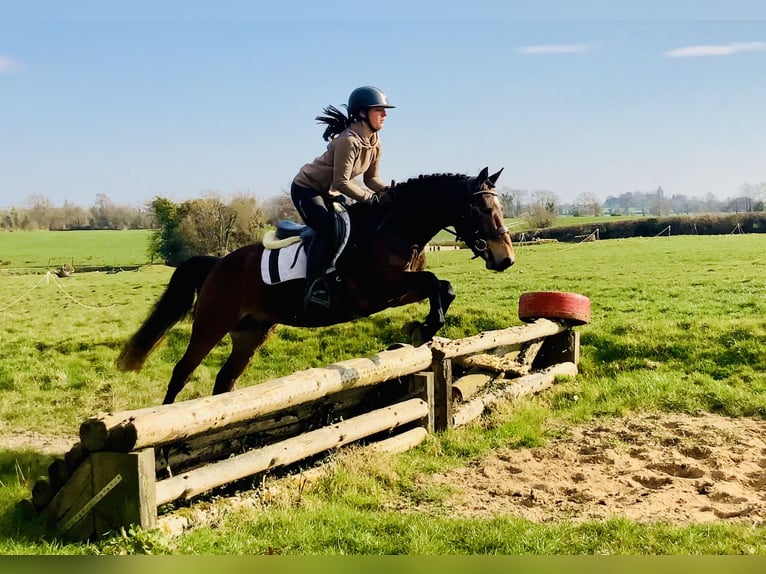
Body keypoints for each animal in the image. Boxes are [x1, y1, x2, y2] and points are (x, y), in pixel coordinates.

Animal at [118, 166, 516, 404]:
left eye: (500, 208)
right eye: (481, 210)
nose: (505, 259)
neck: (397, 227)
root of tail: (218, 263)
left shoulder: (397, 292)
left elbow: (442, 286)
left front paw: (423, 327)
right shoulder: (377, 289)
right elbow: (436, 282)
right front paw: (425, 327)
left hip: (252, 332)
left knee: (225, 379)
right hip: (211, 324)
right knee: (182, 371)